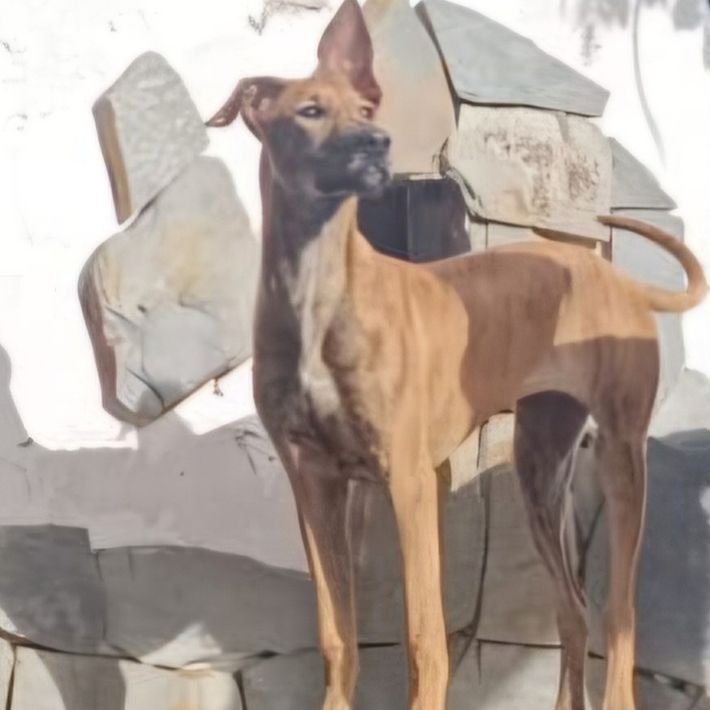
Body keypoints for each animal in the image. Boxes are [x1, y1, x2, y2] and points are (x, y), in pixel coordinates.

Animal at [206, 2, 708, 708]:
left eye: (367, 109)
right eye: (309, 110)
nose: (377, 144)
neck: (317, 290)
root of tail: (615, 276)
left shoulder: (414, 481)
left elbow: (424, 641)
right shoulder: (315, 483)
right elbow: (337, 635)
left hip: (619, 454)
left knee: (619, 614)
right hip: (539, 465)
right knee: (573, 608)